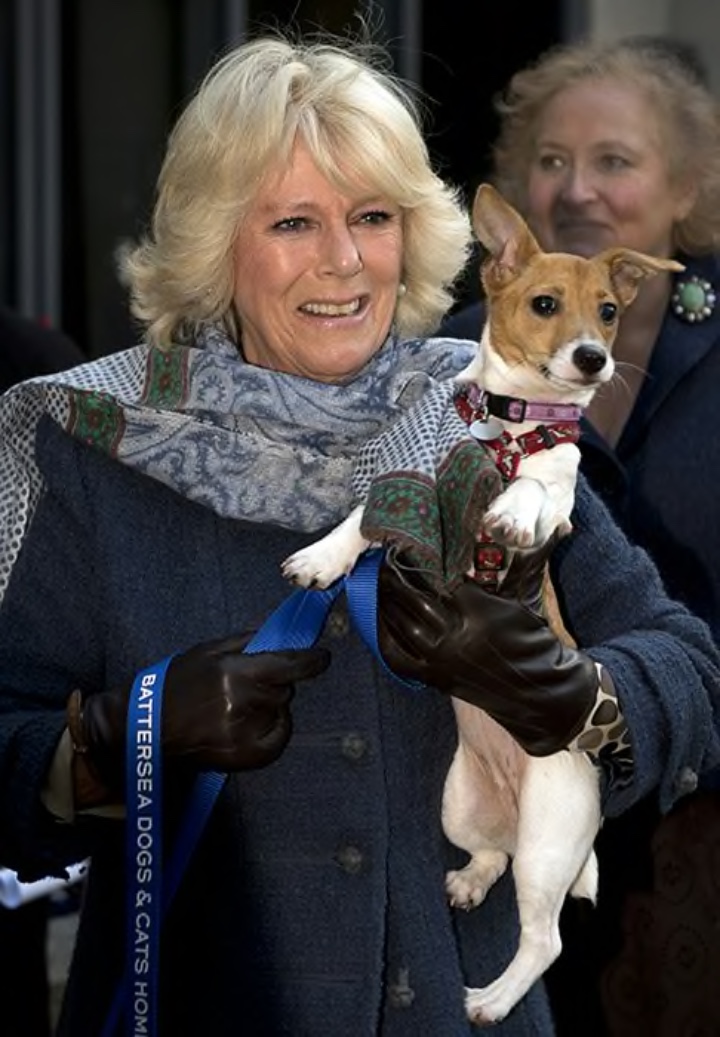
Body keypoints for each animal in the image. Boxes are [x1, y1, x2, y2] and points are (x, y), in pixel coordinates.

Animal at [282, 184, 680, 1020]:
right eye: (544, 303)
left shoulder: (561, 488)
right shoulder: (415, 480)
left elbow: (538, 486)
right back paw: (468, 879)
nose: (593, 358)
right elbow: (363, 518)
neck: (510, 424)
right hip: (462, 806)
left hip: (549, 846)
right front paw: (323, 556)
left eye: (608, 311)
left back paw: (492, 999)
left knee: (545, 939)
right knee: (490, 854)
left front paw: (512, 512)